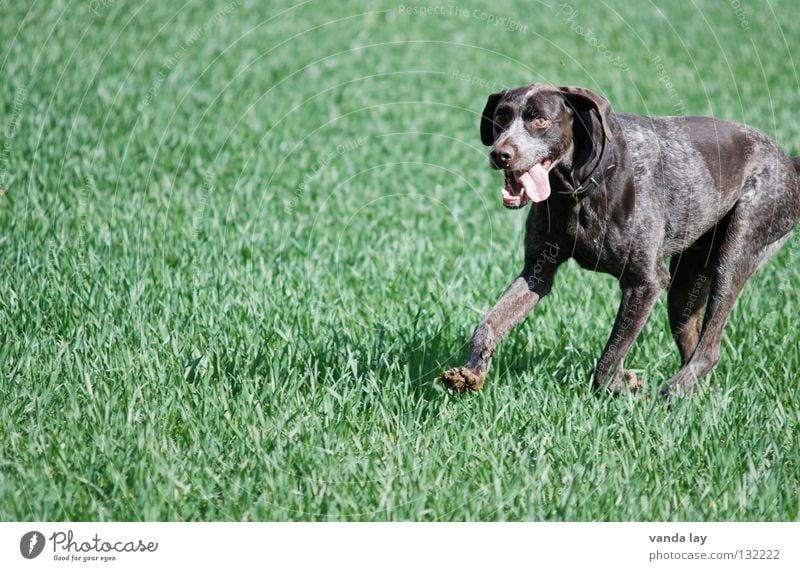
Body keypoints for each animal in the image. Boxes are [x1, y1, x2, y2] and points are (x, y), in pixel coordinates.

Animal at [440, 84, 796, 398]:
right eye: (501, 117)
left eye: (539, 119)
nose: (500, 154)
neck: (579, 189)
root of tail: (788, 161)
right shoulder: (536, 272)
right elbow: (487, 325)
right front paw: (471, 372)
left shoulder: (645, 283)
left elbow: (609, 358)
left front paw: (623, 387)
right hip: (684, 288)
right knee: (694, 342)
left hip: (736, 252)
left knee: (710, 346)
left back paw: (670, 391)